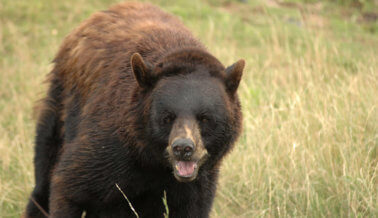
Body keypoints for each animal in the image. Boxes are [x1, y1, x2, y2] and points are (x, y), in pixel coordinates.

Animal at [25, 2, 245, 218]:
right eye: (166, 117)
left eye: (205, 118)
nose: (183, 148)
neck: (155, 164)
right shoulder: (109, 147)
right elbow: (70, 185)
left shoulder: (199, 182)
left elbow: (192, 207)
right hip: (61, 104)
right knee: (44, 170)